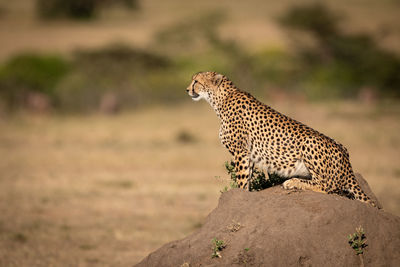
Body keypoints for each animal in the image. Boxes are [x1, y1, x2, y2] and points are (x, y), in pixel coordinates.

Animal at [186, 71, 376, 207]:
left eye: (196, 81)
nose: (187, 90)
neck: (220, 99)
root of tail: (346, 159)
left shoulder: (240, 151)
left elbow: (241, 179)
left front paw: (238, 195)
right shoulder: (249, 154)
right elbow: (247, 178)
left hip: (310, 142)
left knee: (327, 185)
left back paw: (293, 182)